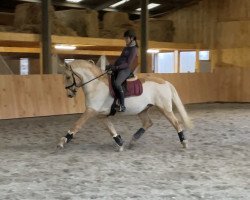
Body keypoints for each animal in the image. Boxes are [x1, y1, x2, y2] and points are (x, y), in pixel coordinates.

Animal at [58, 60, 191, 151]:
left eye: (68, 77)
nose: (69, 94)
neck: (96, 85)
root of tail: (165, 82)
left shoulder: (91, 111)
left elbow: (77, 125)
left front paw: (63, 140)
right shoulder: (101, 115)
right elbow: (111, 129)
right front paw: (120, 143)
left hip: (164, 108)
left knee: (176, 123)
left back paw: (184, 142)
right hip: (142, 110)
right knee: (148, 123)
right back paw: (133, 141)